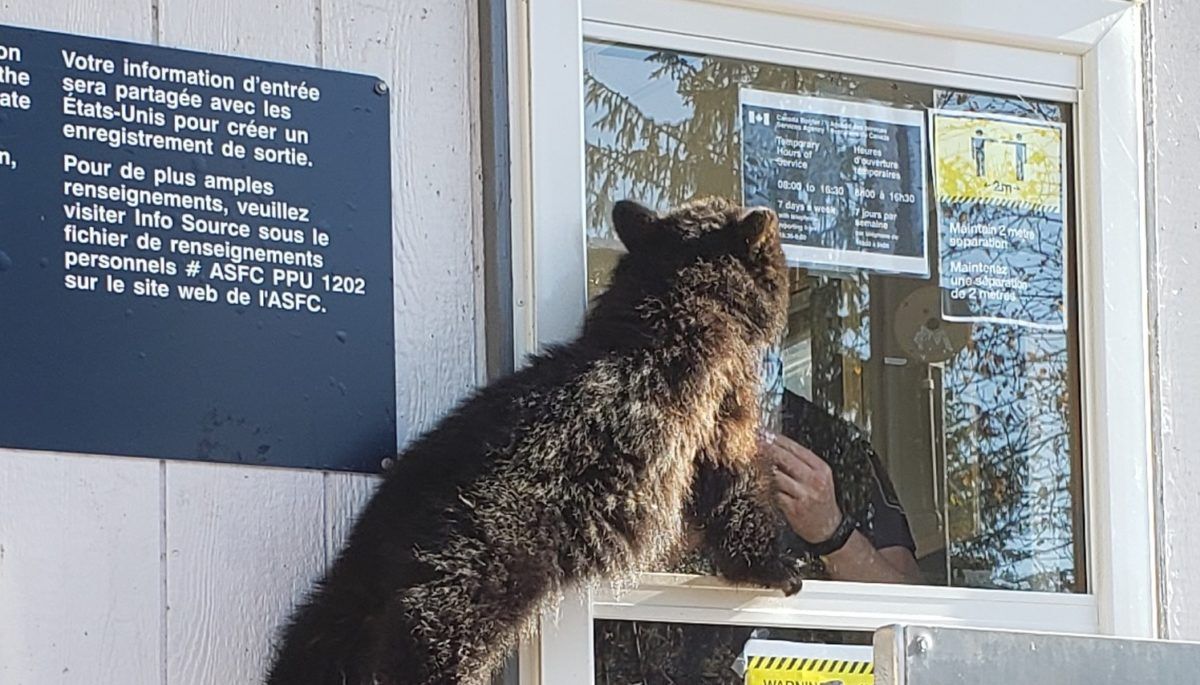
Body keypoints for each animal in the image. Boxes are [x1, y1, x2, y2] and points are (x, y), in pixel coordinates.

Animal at [265, 197, 807, 685]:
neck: (677, 311)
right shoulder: (718, 407)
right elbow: (733, 485)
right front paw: (777, 564)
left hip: (357, 573)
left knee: (316, 631)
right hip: (481, 561)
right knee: (432, 628)